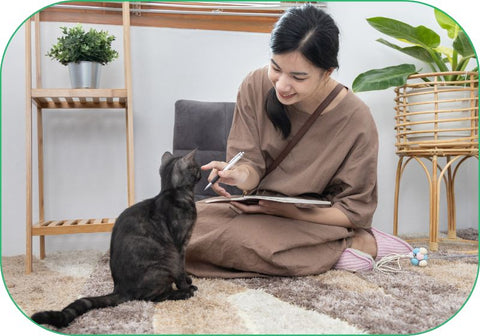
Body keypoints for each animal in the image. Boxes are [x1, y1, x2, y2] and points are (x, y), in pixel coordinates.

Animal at [31, 150, 201, 328]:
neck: (173, 193)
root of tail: (119, 289)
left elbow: (183, 269)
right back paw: (184, 293)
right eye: (196, 167)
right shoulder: (180, 246)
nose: (202, 171)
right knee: (154, 297)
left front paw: (188, 280)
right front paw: (186, 285)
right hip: (163, 265)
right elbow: (180, 269)